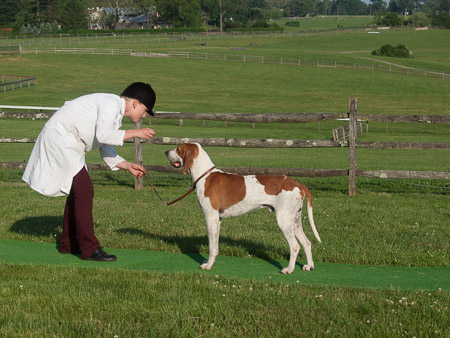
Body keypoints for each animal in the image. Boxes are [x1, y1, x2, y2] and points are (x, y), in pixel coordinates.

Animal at [164, 143, 320, 274]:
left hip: (284, 220)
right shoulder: (218, 220)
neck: (205, 175)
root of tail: (298, 183)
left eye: (178, 148)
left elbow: (211, 246)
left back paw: (289, 269)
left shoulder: (211, 218)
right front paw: (211, 262)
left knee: (295, 246)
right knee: (307, 243)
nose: (165, 152)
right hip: (295, 221)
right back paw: (309, 266)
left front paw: (208, 265)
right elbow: (215, 246)